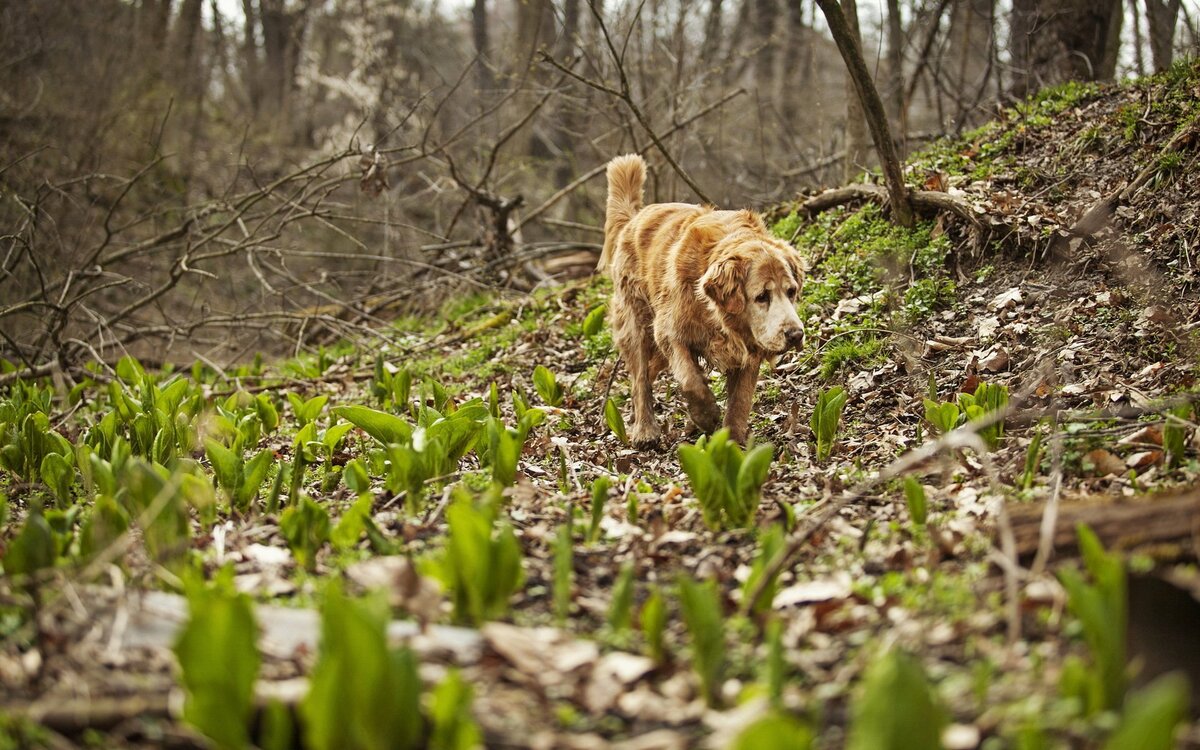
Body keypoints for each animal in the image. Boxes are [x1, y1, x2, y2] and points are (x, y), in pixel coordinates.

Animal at [600, 152, 806, 444]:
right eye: (762, 296)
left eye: (791, 291)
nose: (796, 335)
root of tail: (635, 217)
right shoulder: (670, 332)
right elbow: (691, 380)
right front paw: (706, 416)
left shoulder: (748, 347)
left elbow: (740, 400)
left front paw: (731, 442)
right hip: (637, 322)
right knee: (640, 378)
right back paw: (645, 429)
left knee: (648, 371)